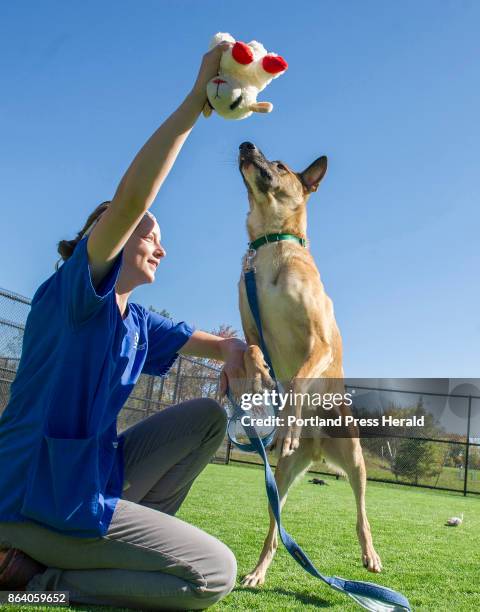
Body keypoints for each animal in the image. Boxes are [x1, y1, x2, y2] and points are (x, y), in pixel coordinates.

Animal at [236, 142, 382, 588]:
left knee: (361, 513)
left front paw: (288, 419)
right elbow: (252, 355)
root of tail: (317, 449)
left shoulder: (320, 340)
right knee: (274, 530)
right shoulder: (250, 329)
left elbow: (299, 380)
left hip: (355, 459)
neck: (271, 245)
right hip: (281, 477)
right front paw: (260, 384)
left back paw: (370, 555)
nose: (245, 144)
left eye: (280, 165)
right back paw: (257, 571)